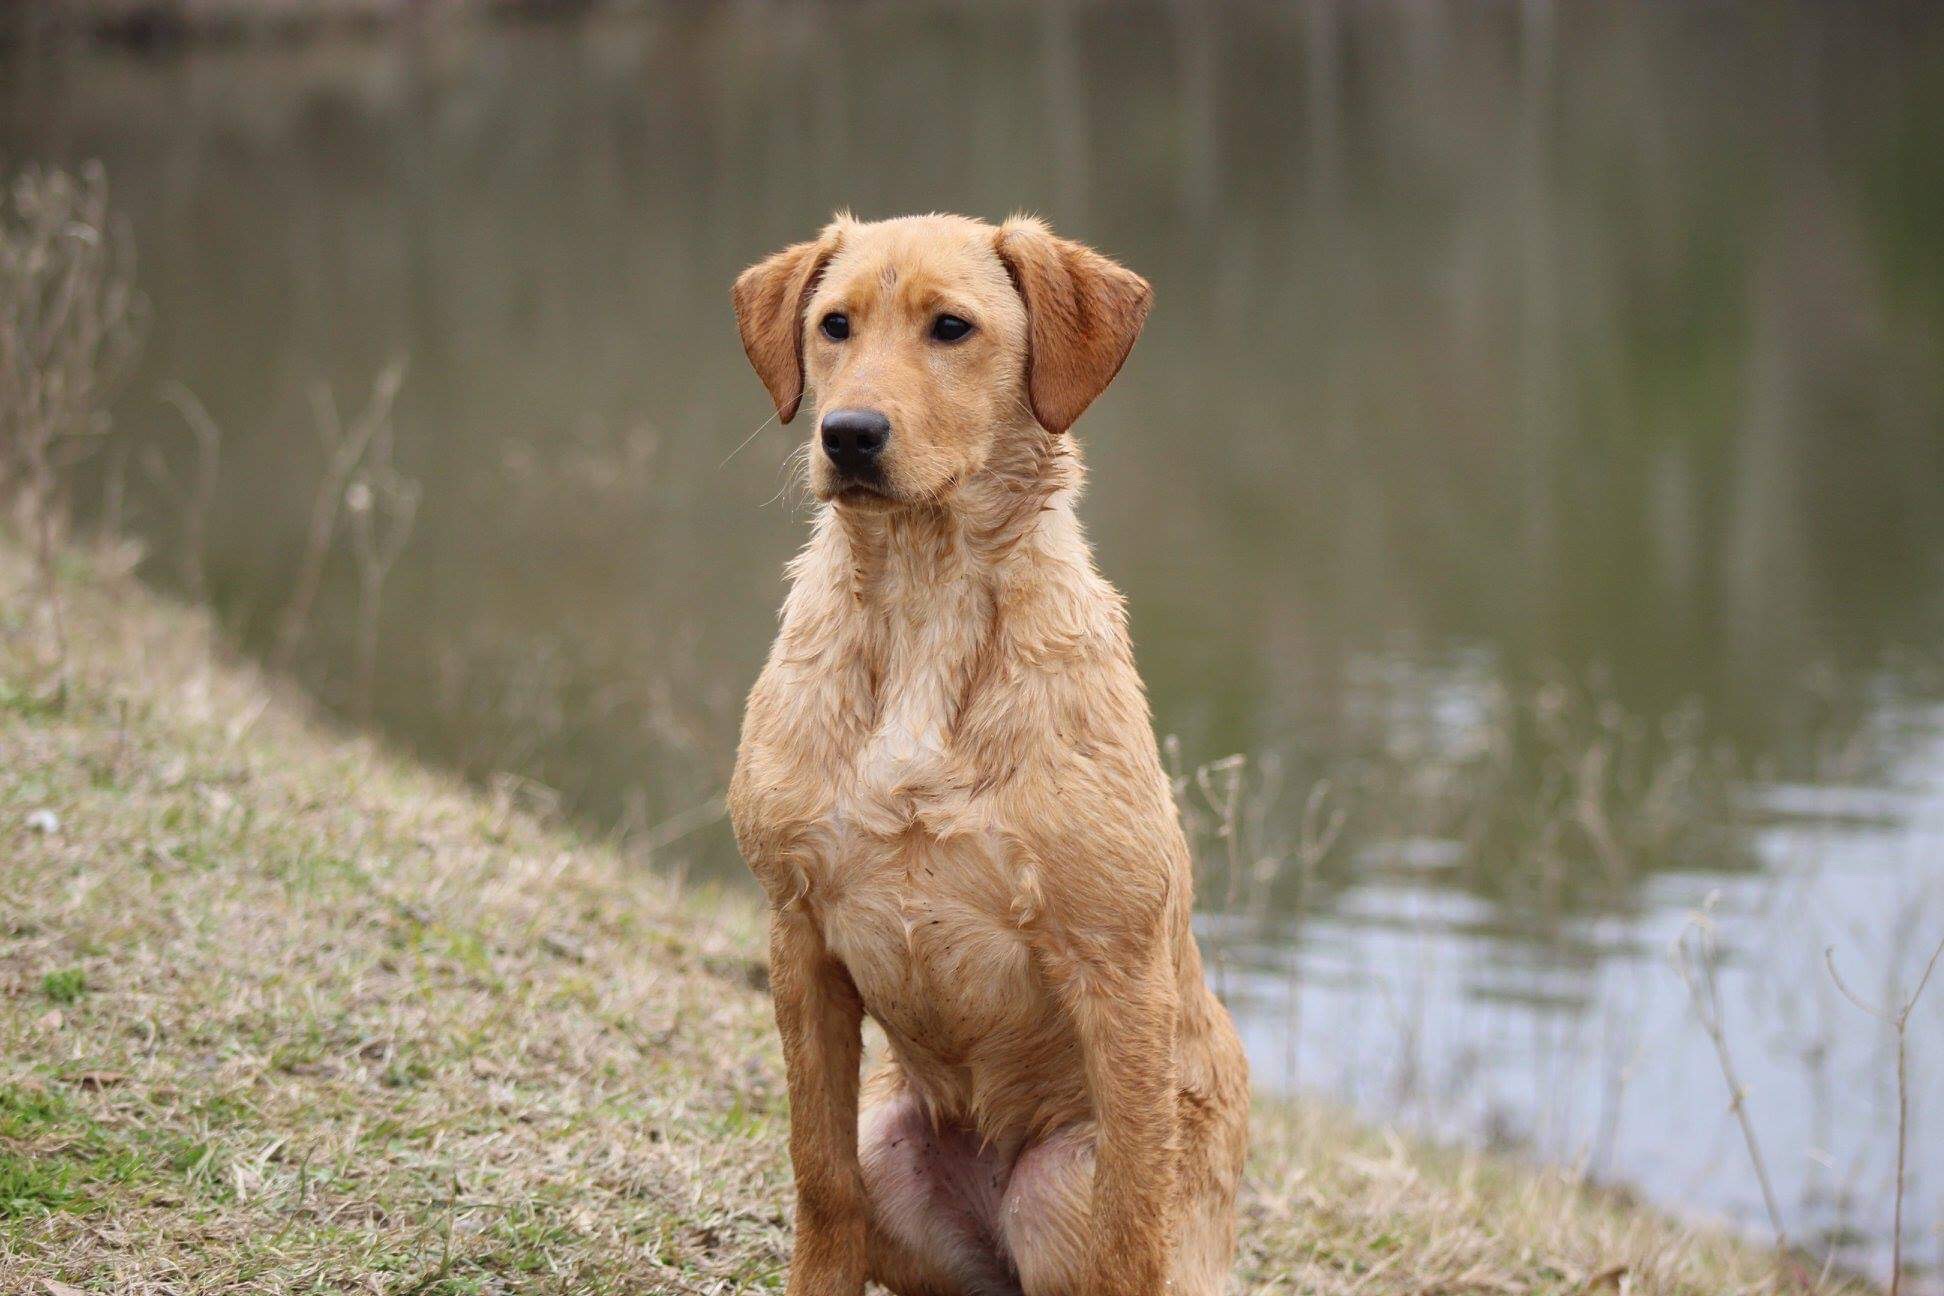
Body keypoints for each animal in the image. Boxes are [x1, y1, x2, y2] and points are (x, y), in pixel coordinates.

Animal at [727, 215, 1244, 1296]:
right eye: (834, 325)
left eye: (951, 328)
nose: (848, 435)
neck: (927, 599)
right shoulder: (799, 934)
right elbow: (819, 1181)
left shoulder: (1116, 967)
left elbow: (1130, 1228)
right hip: (897, 1152)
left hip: (1054, 1189)